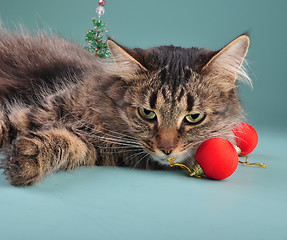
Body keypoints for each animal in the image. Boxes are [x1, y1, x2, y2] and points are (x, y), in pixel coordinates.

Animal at [0, 30, 251, 187]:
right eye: (147, 113)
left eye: (194, 117)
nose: (166, 150)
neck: (108, 119)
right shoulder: (42, 109)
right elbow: (6, 124)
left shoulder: (90, 146)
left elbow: (63, 142)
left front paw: (26, 158)